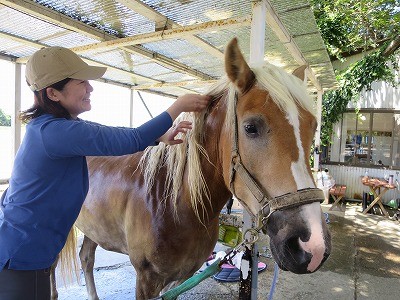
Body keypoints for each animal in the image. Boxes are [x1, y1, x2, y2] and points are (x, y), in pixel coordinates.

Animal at [50, 38, 332, 300]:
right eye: (251, 127)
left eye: (313, 127)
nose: (313, 245)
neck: (175, 203)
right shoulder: (146, 279)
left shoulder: (179, 280)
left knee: (86, 258)